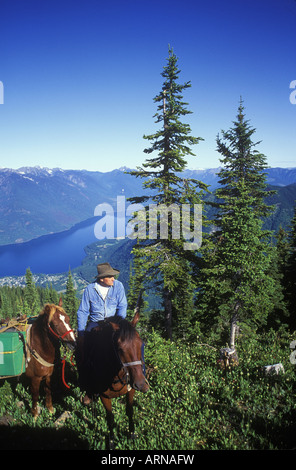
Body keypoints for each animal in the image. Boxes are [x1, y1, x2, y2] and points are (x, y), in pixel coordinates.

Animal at [78, 310, 149, 450]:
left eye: (141, 343)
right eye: (119, 348)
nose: (140, 384)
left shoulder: (130, 391)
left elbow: (130, 411)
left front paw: (132, 434)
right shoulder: (104, 396)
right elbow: (110, 418)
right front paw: (111, 441)